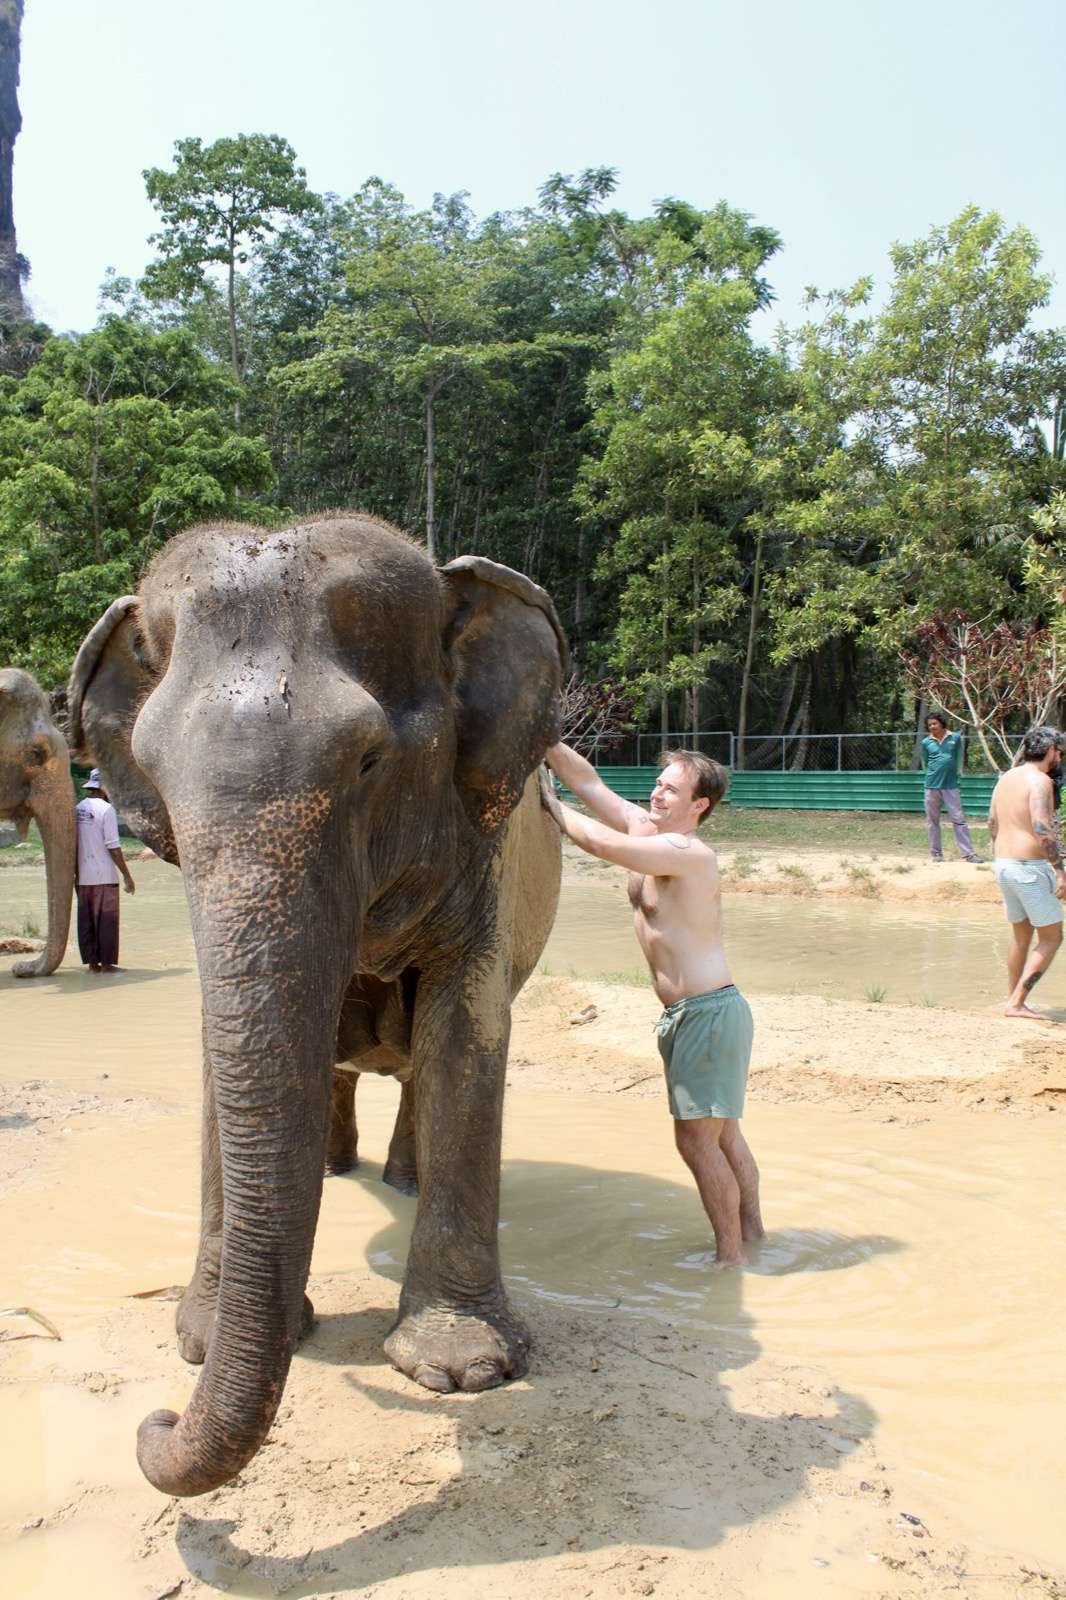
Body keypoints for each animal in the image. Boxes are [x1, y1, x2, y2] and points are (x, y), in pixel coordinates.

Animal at [67, 510, 567, 1498]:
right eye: (150, 769)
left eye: (370, 760)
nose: (156, 1420)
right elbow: (221, 1053)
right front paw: (197, 1337)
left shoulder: (487, 851)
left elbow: (467, 1031)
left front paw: (460, 1370)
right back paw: (340, 1172)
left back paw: (398, 1181)